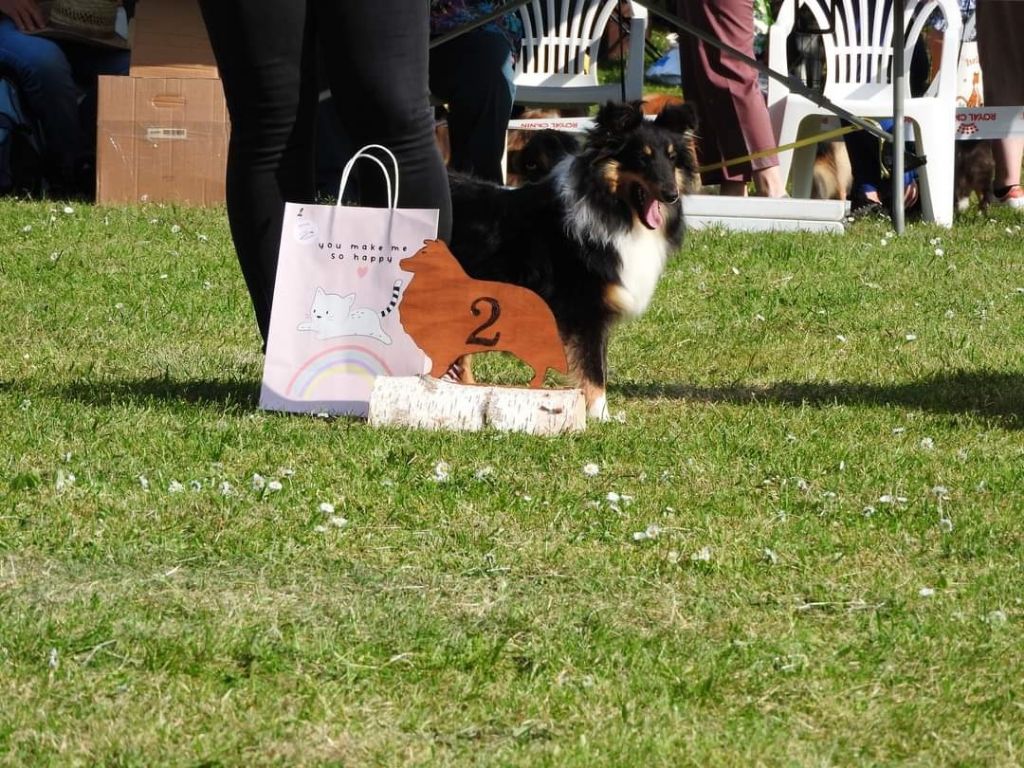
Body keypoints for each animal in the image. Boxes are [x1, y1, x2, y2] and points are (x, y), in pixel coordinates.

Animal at [446, 100, 696, 421]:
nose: (671, 195)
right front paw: (601, 417)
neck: (612, 210)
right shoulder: (583, 311)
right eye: (642, 157)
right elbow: (593, 370)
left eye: (672, 158)